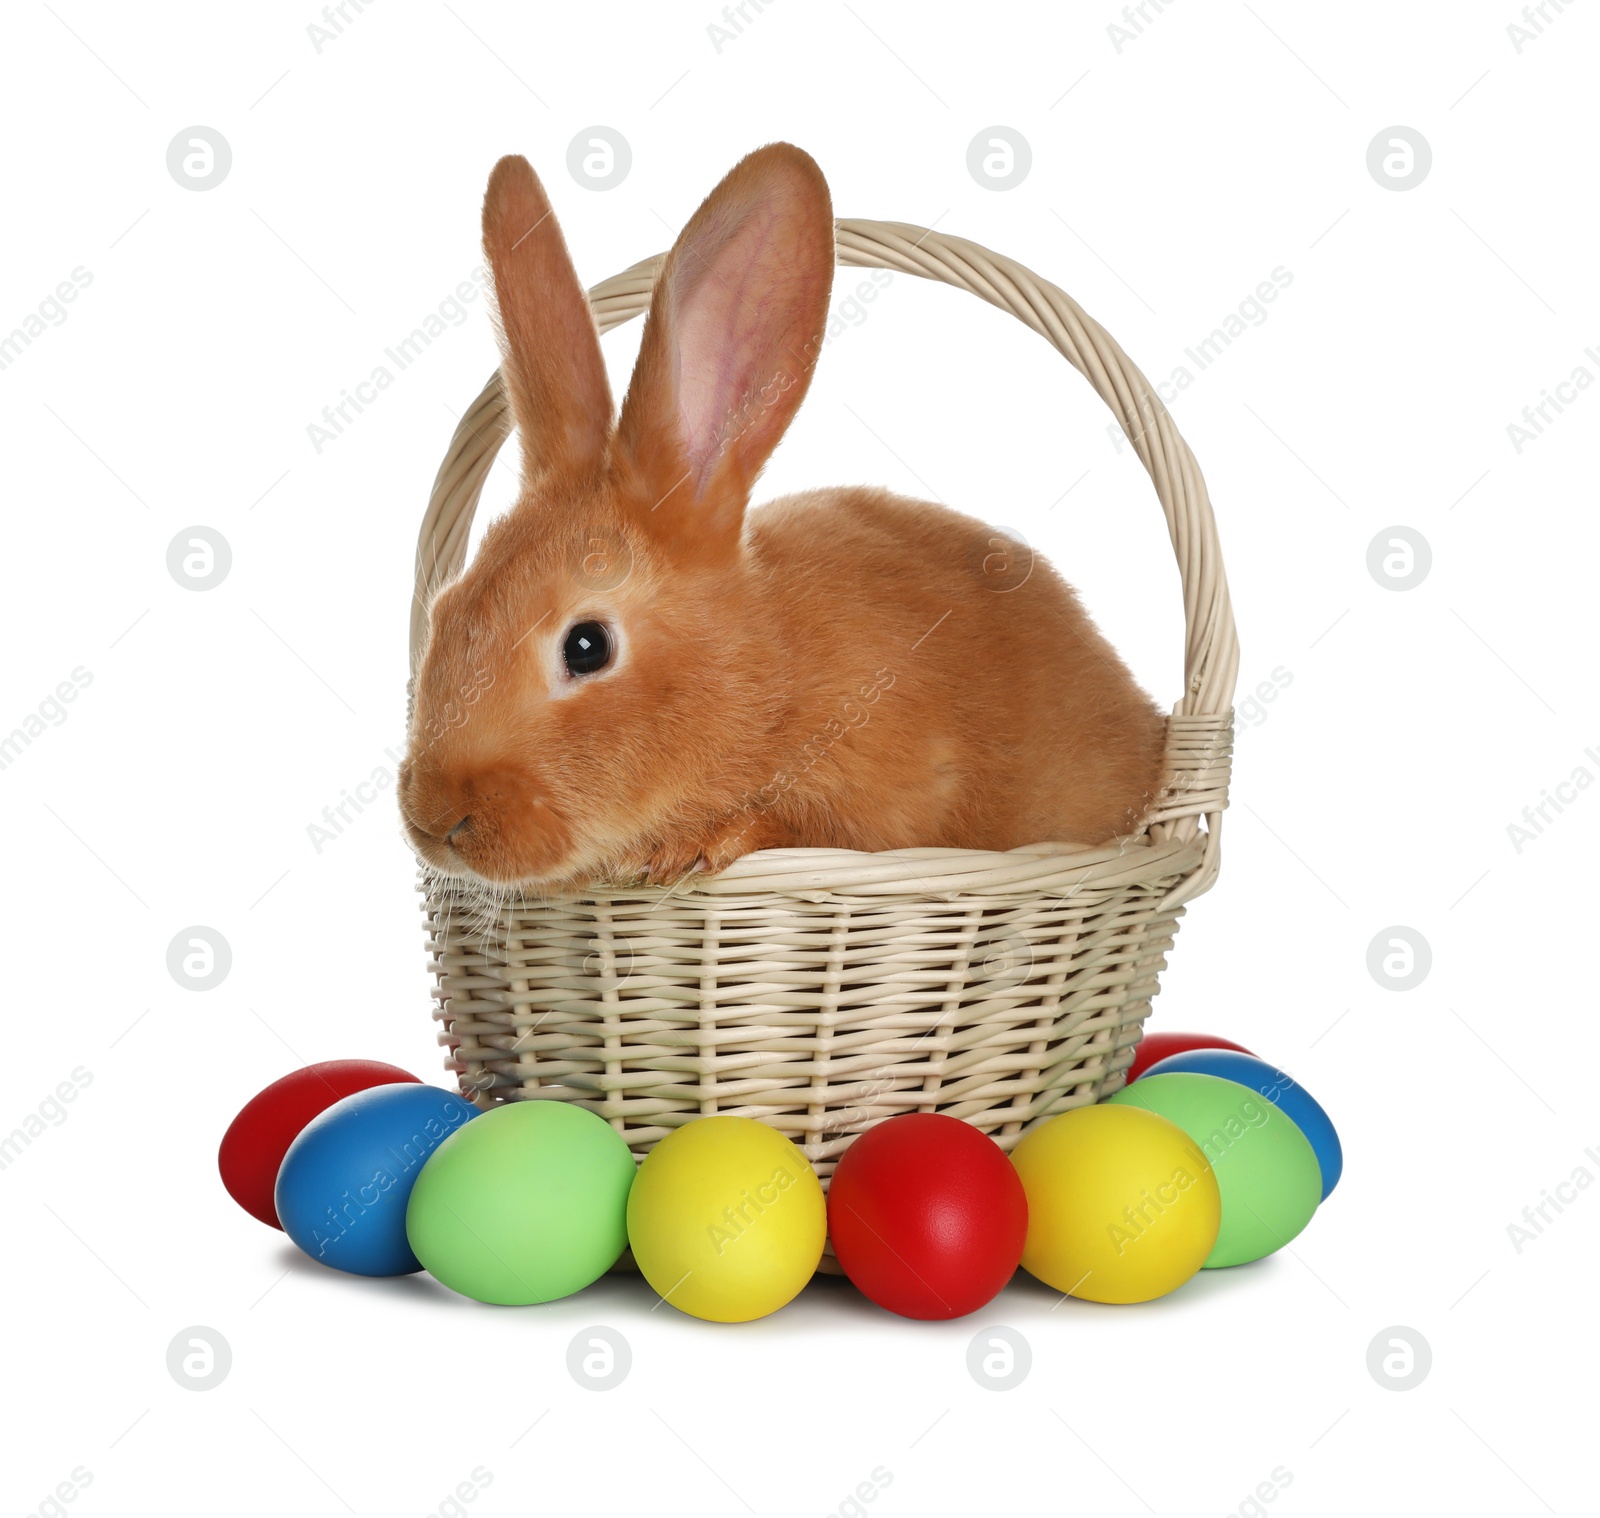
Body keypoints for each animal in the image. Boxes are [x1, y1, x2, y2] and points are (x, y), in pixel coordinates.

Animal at [398, 140, 1164, 895]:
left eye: (586, 646)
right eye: (444, 612)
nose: (436, 818)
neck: (768, 672)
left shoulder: (888, 800)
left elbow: (806, 826)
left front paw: (695, 845)